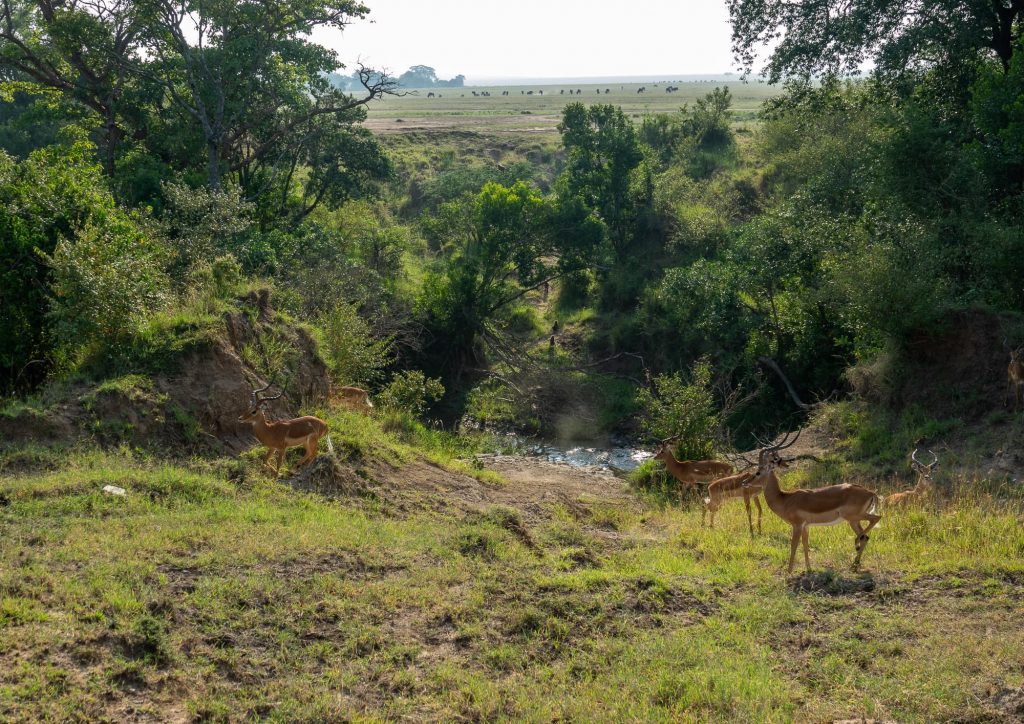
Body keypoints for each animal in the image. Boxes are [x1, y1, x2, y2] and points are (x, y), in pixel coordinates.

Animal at [745, 434, 880, 573]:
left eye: (758, 472)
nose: (745, 482)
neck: (784, 499)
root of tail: (870, 492)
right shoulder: (806, 526)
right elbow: (805, 545)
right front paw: (809, 569)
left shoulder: (797, 525)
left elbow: (793, 545)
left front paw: (789, 571)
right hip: (854, 520)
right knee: (866, 537)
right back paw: (854, 565)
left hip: (853, 517)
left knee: (875, 519)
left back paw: (856, 546)